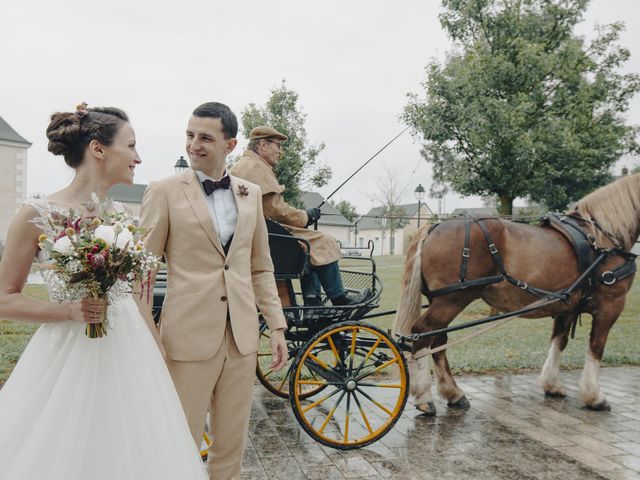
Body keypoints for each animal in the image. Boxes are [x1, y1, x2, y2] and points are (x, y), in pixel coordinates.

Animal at [396, 174, 640, 414]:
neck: (603, 237)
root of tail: (435, 226)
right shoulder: (610, 305)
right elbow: (596, 347)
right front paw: (594, 397)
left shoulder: (566, 304)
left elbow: (558, 341)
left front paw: (552, 384)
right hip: (453, 298)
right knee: (423, 333)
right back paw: (425, 397)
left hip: (440, 299)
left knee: (438, 338)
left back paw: (454, 393)